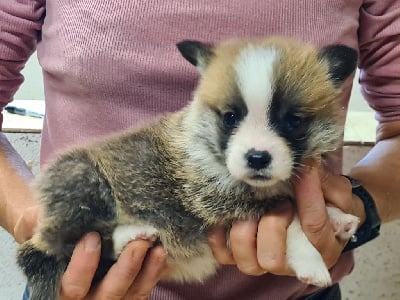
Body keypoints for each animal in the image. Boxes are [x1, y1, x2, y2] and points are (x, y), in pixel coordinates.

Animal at [16, 36, 360, 298]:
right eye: (230, 117)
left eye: (293, 120)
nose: (257, 158)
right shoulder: (219, 204)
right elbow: (289, 217)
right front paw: (311, 260)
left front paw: (337, 217)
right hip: (81, 180)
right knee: (74, 244)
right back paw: (133, 233)